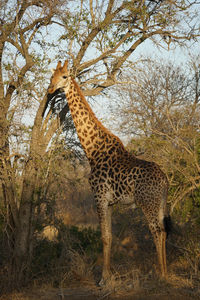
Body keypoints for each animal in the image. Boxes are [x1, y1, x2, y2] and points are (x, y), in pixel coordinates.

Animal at [48, 59, 170, 284]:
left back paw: (161, 275)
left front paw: (104, 278)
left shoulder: (99, 197)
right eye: (52, 75)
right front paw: (109, 275)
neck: (92, 150)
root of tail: (165, 180)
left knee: (156, 232)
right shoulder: (110, 202)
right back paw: (164, 272)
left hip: (147, 203)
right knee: (164, 231)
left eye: (65, 76)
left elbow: (104, 237)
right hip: (160, 203)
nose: (51, 89)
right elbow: (111, 236)